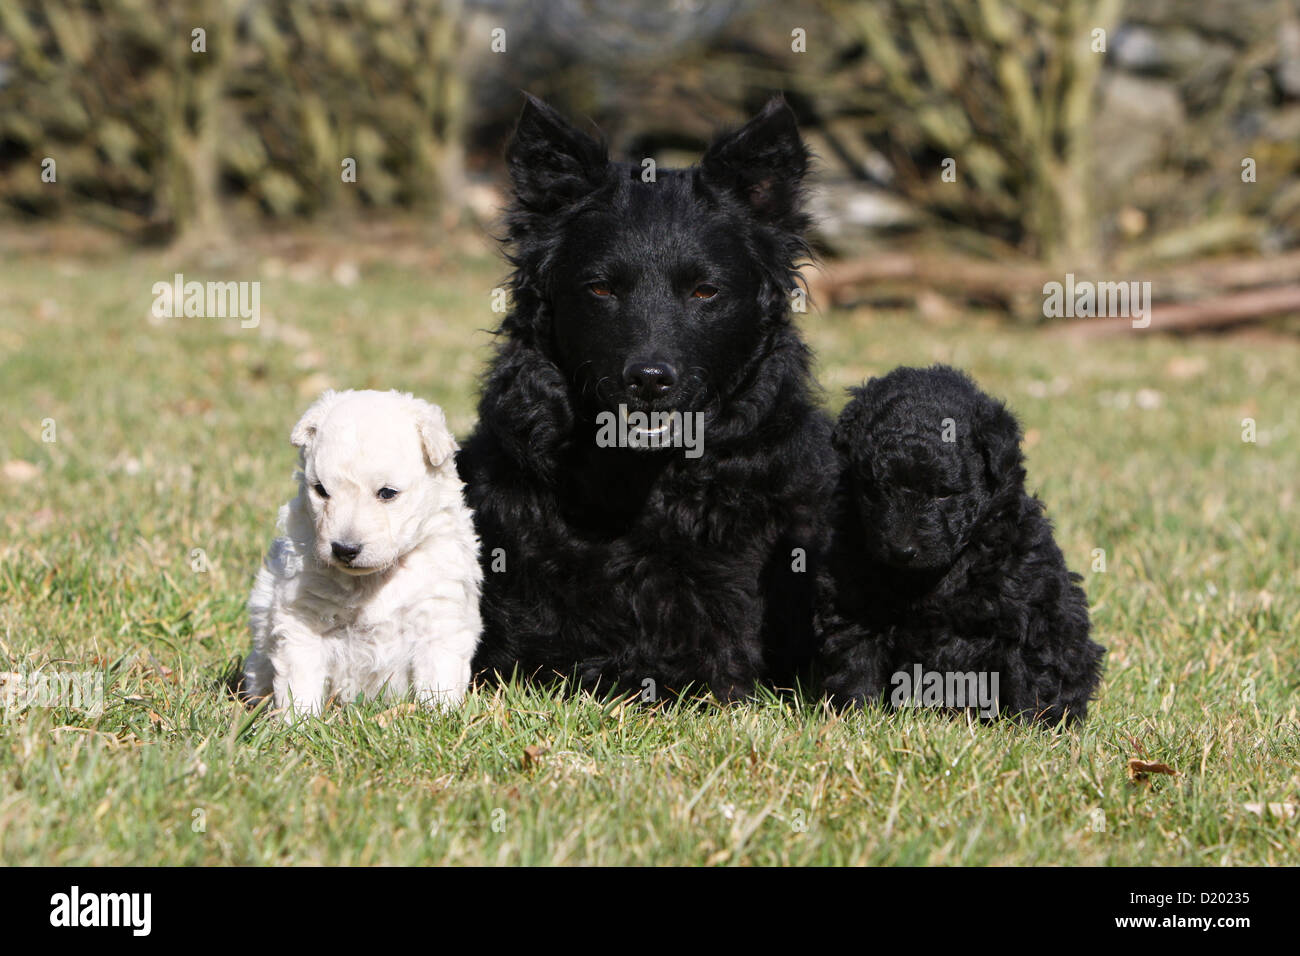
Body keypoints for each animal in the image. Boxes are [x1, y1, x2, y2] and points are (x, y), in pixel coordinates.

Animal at [244, 390, 483, 717]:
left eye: (387, 493)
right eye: (321, 490)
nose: (344, 549)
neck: (373, 579)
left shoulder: (438, 613)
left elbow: (439, 675)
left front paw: (440, 717)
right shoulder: (303, 615)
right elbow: (300, 678)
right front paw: (298, 722)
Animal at [816, 366, 1102, 723]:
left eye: (944, 493)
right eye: (875, 489)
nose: (902, 551)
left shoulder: (1031, 607)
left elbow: (1031, 674)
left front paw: (1032, 728)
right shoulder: (854, 597)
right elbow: (856, 663)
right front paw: (854, 717)